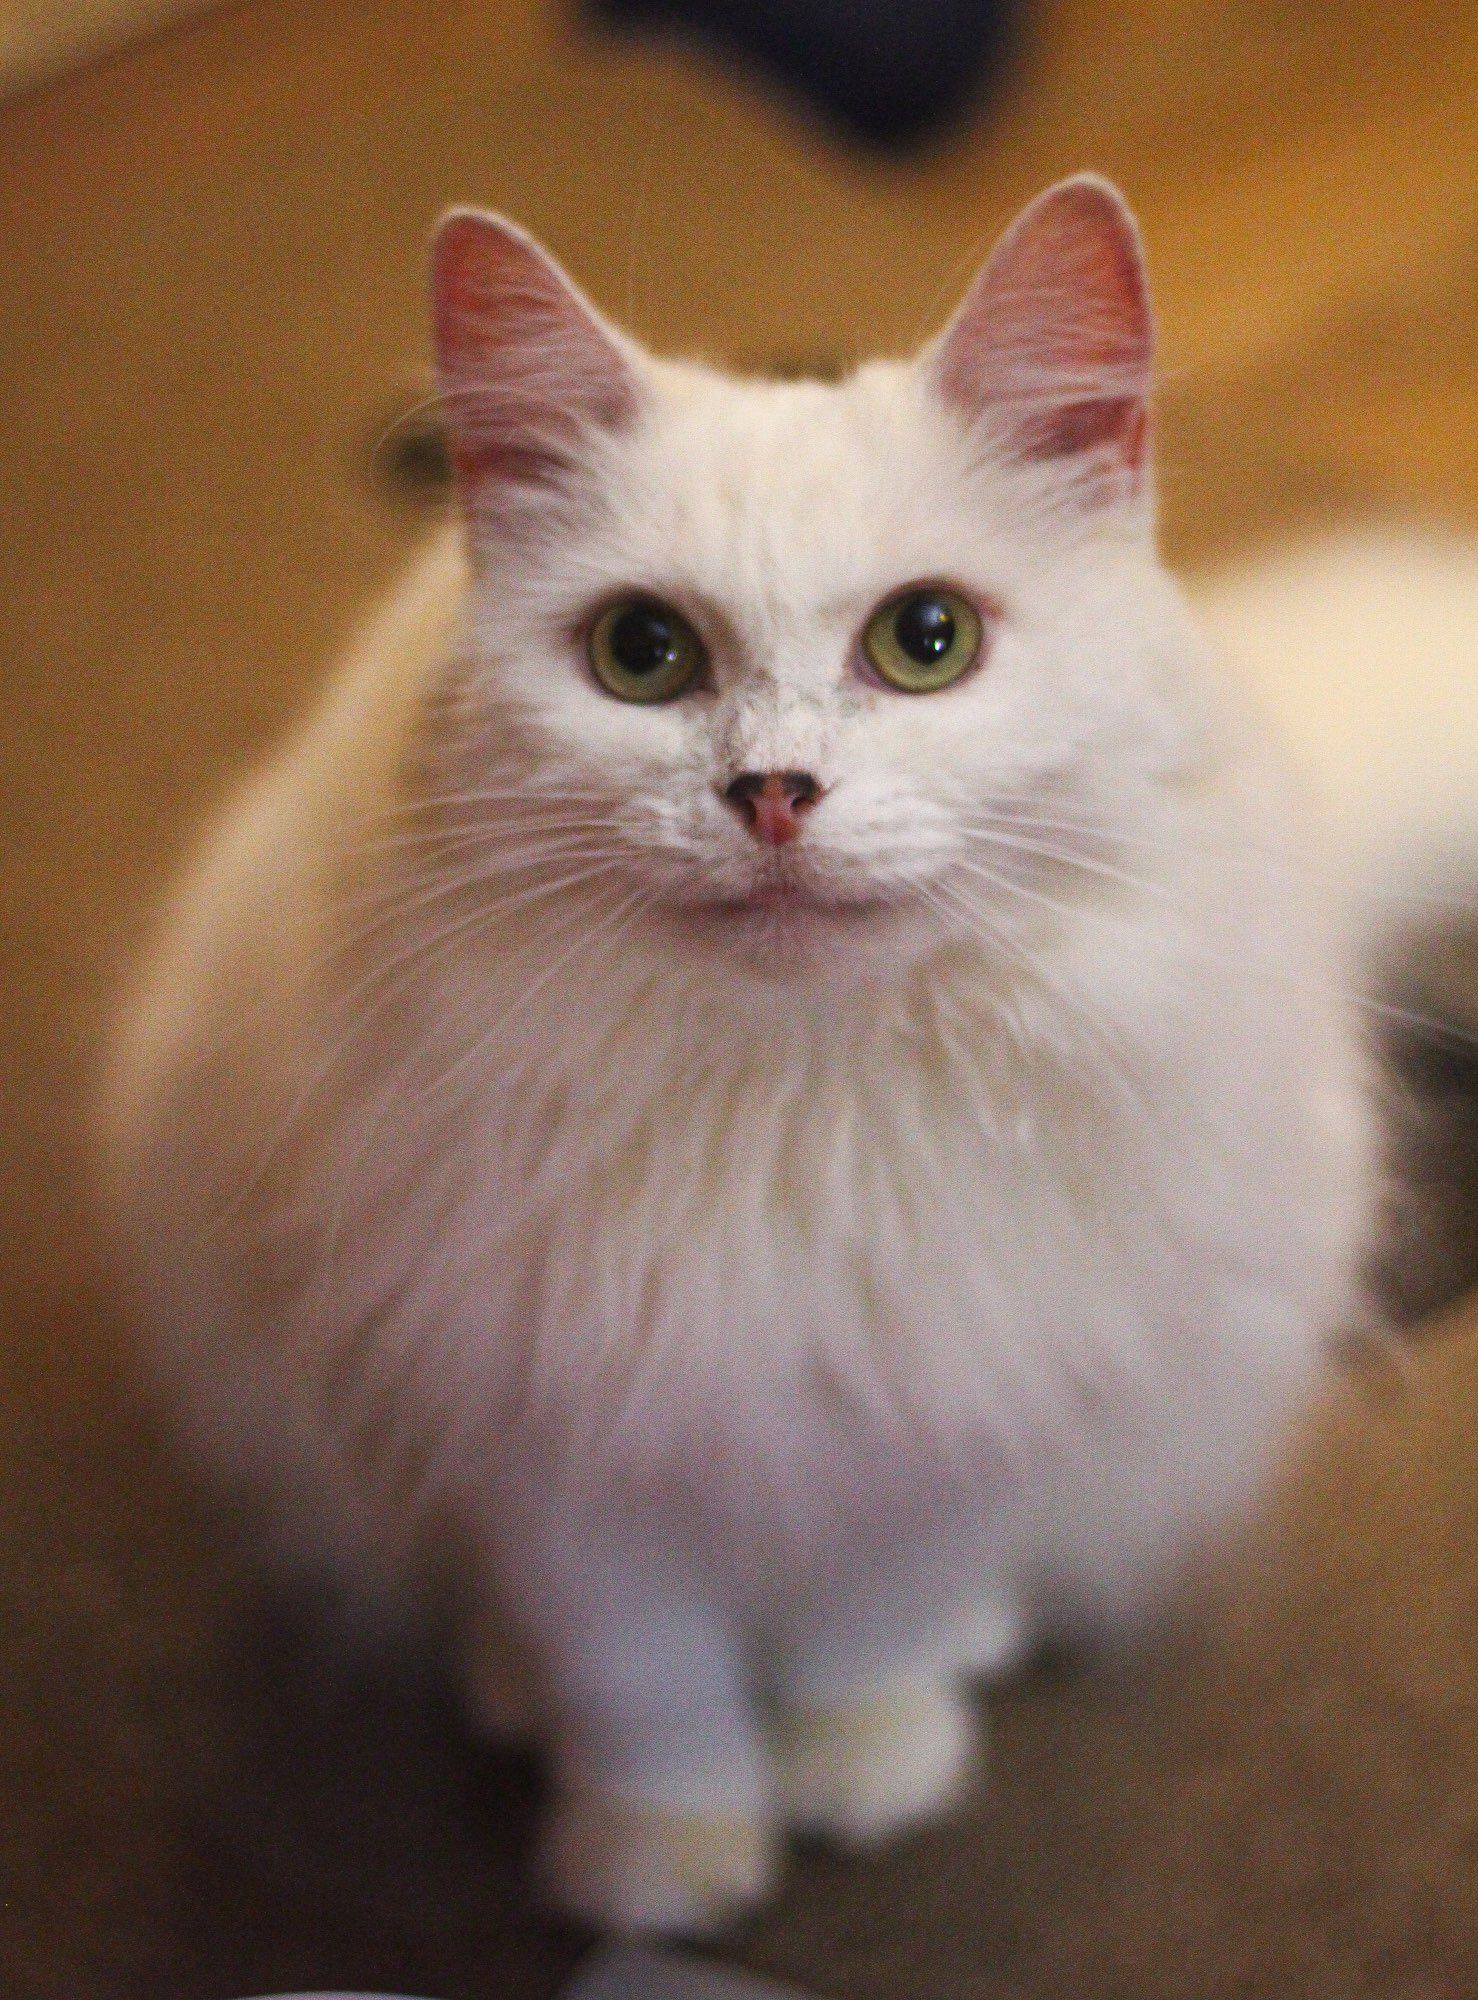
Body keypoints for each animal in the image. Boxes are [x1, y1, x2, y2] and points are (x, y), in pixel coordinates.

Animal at [101, 180, 1384, 1928]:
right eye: (642, 655)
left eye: (927, 641)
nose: (773, 793)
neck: (798, 1106)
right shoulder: (553, 1444)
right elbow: (646, 1691)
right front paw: (664, 1865)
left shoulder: (953, 1399)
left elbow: (872, 1626)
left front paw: (863, 1774)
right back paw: (511, 1695)